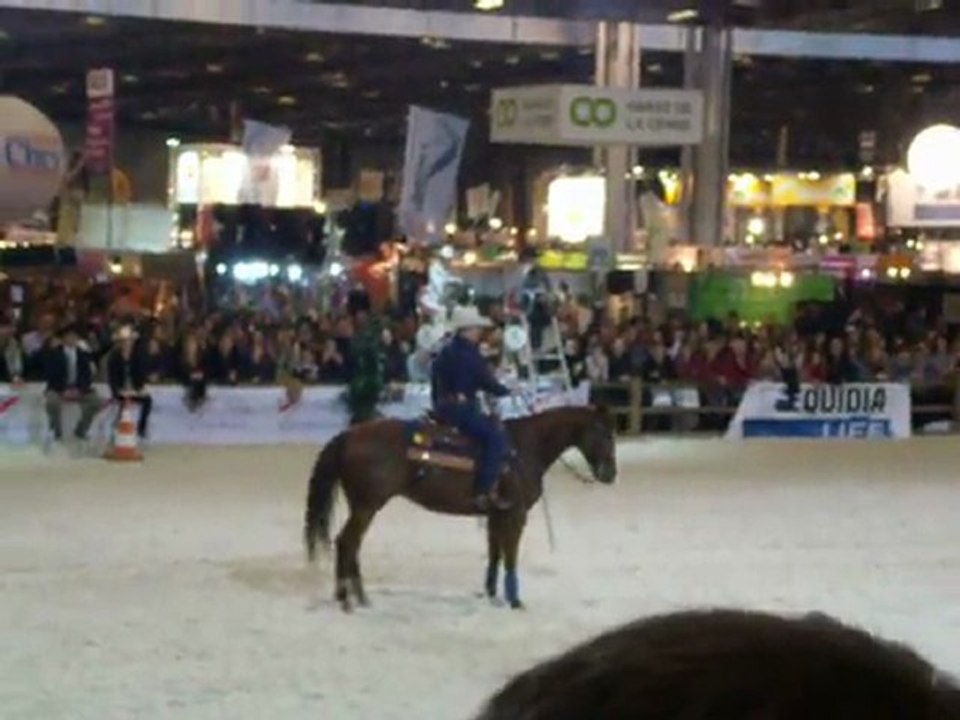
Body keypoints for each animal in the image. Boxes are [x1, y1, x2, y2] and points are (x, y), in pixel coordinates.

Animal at [302, 405, 617, 612]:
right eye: (604, 433)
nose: (610, 474)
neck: (523, 449)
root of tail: (349, 435)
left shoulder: (496, 514)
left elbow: (495, 553)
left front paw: (491, 593)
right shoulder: (515, 514)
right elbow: (511, 556)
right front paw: (515, 599)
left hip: (364, 507)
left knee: (352, 546)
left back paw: (359, 598)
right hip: (367, 506)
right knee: (347, 543)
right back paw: (347, 600)